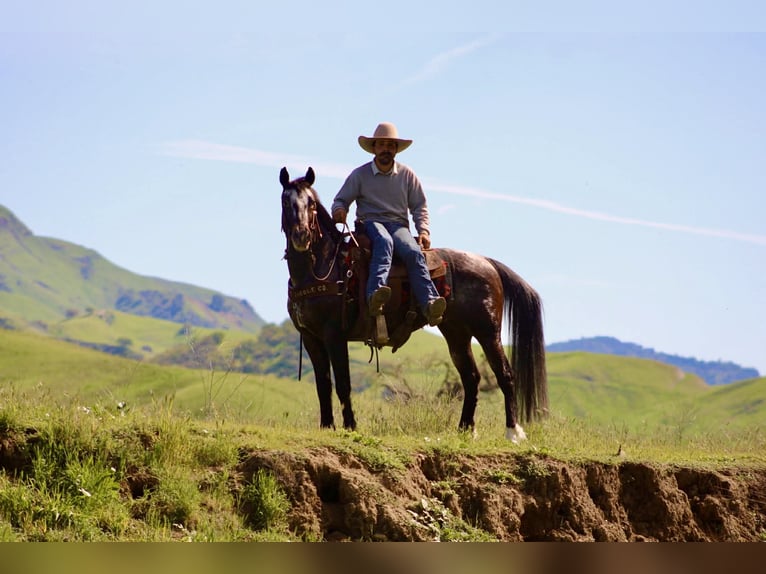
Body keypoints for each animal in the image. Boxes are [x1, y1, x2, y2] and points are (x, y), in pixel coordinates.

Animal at [279, 167, 548, 442]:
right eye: (285, 201)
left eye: (310, 203)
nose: (301, 235)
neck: (325, 269)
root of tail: (487, 262)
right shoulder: (311, 337)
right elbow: (323, 384)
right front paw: (327, 426)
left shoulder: (335, 335)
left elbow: (343, 383)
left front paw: (350, 426)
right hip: (456, 333)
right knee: (471, 377)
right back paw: (465, 429)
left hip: (487, 331)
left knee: (504, 374)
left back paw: (513, 432)